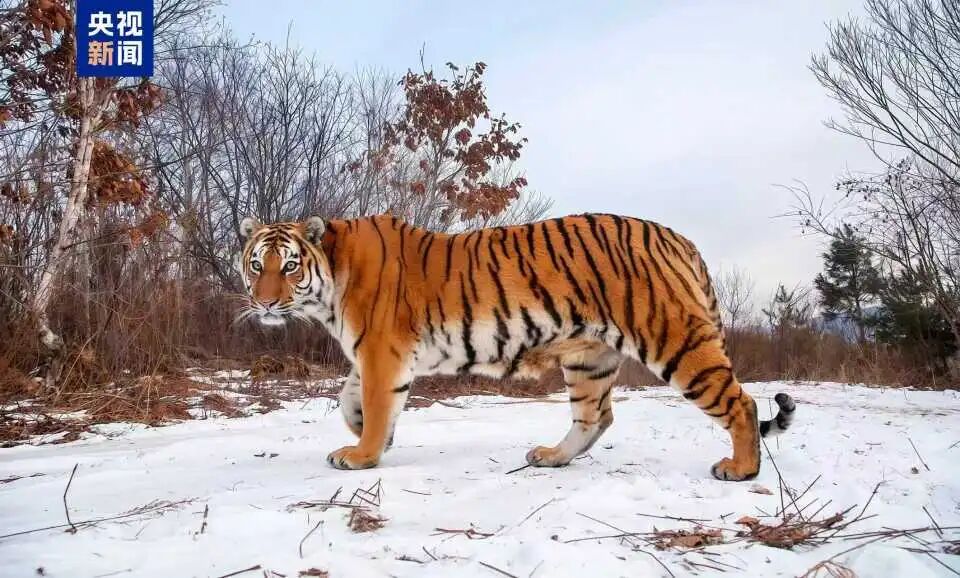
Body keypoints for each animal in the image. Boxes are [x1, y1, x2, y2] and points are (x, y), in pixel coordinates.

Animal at [238, 213, 796, 481]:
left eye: (289, 266)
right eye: (256, 264)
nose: (264, 301)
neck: (331, 280)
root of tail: (680, 239)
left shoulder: (380, 351)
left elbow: (375, 404)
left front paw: (362, 454)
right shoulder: (373, 355)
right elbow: (349, 397)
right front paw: (363, 434)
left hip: (674, 339)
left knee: (741, 402)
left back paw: (740, 470)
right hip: (589, 359)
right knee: (595, 417)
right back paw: (551, 457)